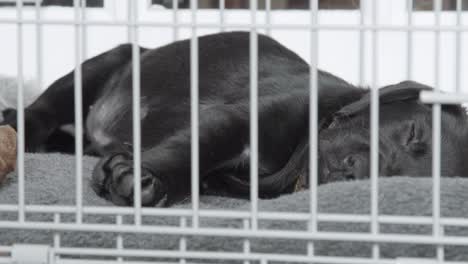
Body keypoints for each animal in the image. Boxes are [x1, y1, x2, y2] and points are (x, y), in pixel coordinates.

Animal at [2, 31, 464, 206]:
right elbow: (196, 146)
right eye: (413, 134)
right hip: (108, 61)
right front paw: (143, 178)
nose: (357, 172)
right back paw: (16, 122)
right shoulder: (238, 118)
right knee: (43, 111)